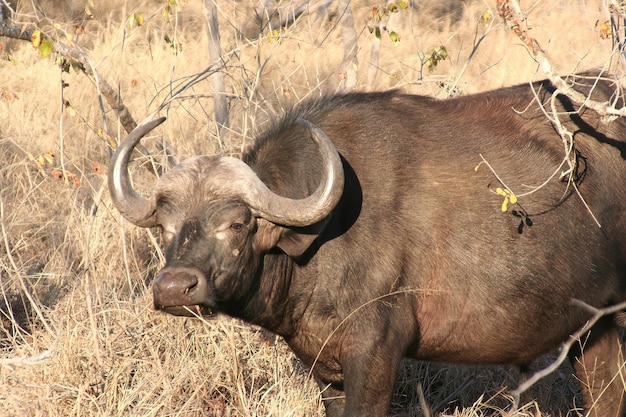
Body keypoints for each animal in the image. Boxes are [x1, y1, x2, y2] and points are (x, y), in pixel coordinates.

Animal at [107, 73, 624, 414]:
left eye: (237, 224)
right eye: (166, 226)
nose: (174, 289)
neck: (319, 241)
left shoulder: (375, 355)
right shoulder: (325, 366)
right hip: (593, 332)